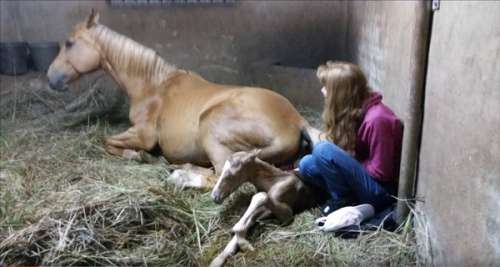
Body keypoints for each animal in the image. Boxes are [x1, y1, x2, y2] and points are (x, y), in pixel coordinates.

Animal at [47, 10, 320, 188]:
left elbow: (107, 141)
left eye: (69, 43)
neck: (153, 86)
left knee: (218, 177)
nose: (51, 78)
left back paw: (181, 175)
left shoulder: (144, 135)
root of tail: (296, 121)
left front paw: (140, 156)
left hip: (210, 127)